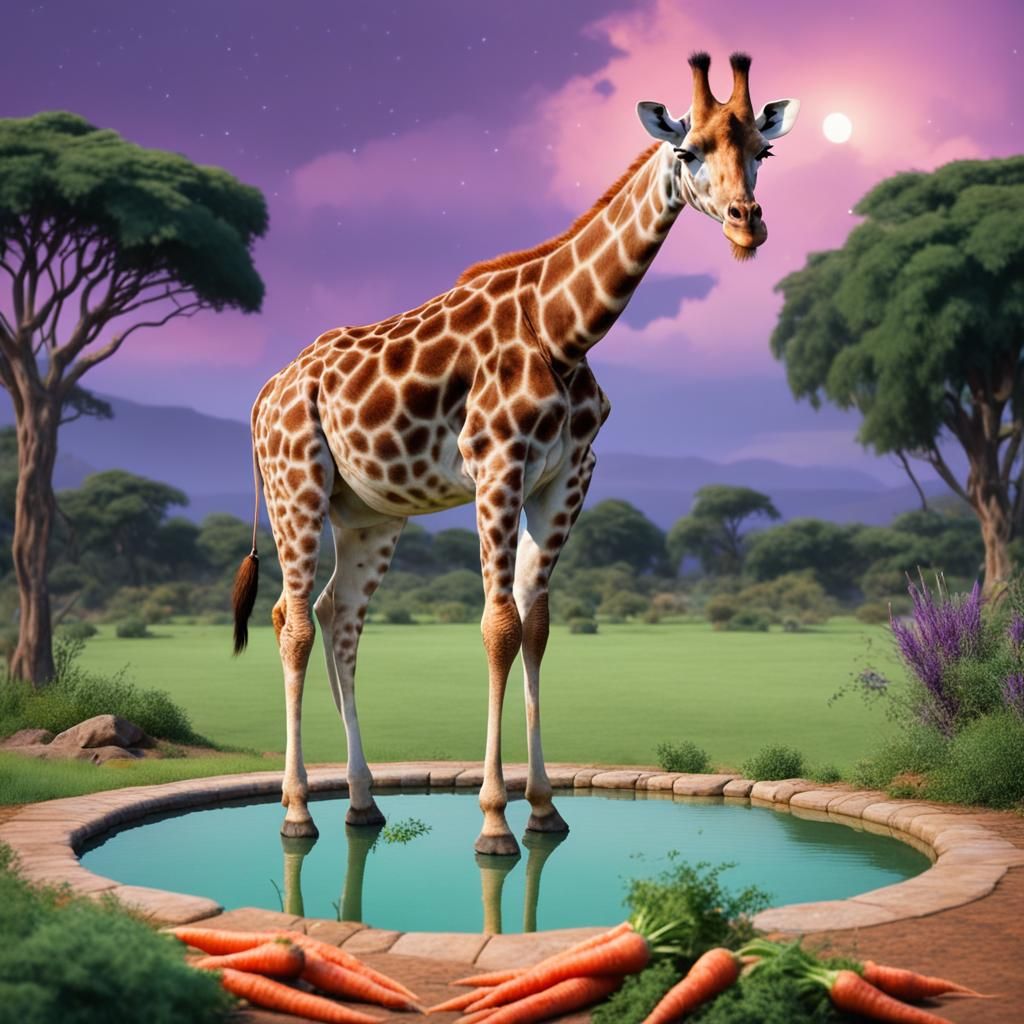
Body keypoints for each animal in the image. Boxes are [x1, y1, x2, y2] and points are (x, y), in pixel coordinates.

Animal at [232, 52, 799, 855]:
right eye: (689, 152)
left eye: (762, 151)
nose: (749, 224)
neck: (564, 329)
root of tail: (263, 393)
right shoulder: (496, 466)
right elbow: (497, 627)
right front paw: (496, 818)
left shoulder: (568, 477)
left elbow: (537, 624)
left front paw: (543, 808)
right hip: (297, 487)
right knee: (293, 619)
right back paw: (296, 809)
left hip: (369, 514)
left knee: (340, 618)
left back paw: (362, 801)